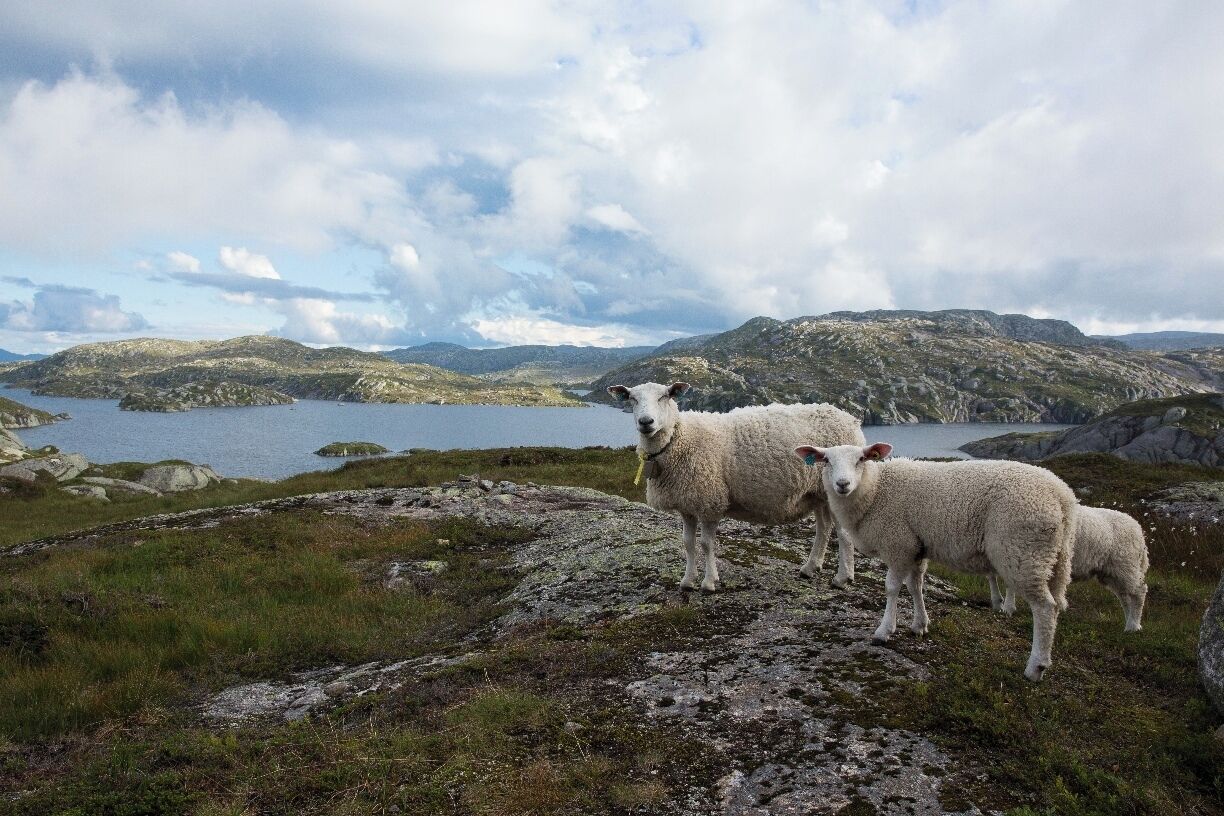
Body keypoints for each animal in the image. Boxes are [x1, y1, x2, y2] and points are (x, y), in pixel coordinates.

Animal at [607, 382, 865, 592]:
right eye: (632, 399)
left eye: (664, 396)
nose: (646, 422)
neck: (677, 439)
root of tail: (850, 419)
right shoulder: (687, 503)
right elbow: (688, 543)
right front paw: (688, 581)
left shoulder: (710, 500)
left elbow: (706, 544)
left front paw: (709, 582)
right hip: (818, 492)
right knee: (824, 528)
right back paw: (810, 568)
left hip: (836, 487)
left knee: (842, 532)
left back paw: (842, 578)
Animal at [794, 443, 1076, 681]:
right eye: (826, 460)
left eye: (861, 459)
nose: (842, 484)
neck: (875, 491)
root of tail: (1064, 496)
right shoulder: (916, 547)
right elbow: (915, 586)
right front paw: (919, 625)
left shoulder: (898, 544)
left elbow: (892, 588)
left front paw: (884, 631)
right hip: (1054, 558)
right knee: (1055, 604)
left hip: (1024, 551)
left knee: (1044, 608)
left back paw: (1035, 667)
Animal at [987, 505, 1148, 631]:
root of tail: (1139, 530)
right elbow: (991, 577)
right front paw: (998, 603)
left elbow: (1008, 584)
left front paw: (1007, 608)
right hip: (1111, 572)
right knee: (1125, 597)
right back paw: (1131, 623)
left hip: (1125, 566)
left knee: (1139, 592)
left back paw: (1133, 626)